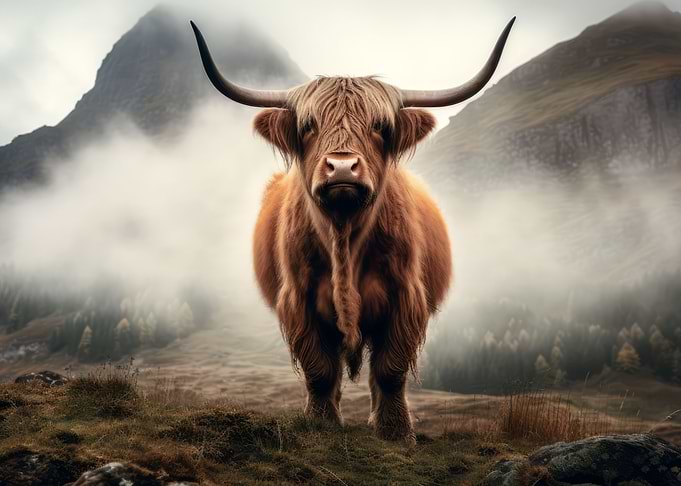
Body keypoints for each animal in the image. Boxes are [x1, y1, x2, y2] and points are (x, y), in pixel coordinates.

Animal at [190, 18, 514, 442]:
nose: (342, 167)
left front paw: (395, 432)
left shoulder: (404, 298)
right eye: (308, 125)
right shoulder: (300, 300)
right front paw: (321, 425)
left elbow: (390, 370)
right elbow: (320, 371)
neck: (343, 237)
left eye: (379, 126)